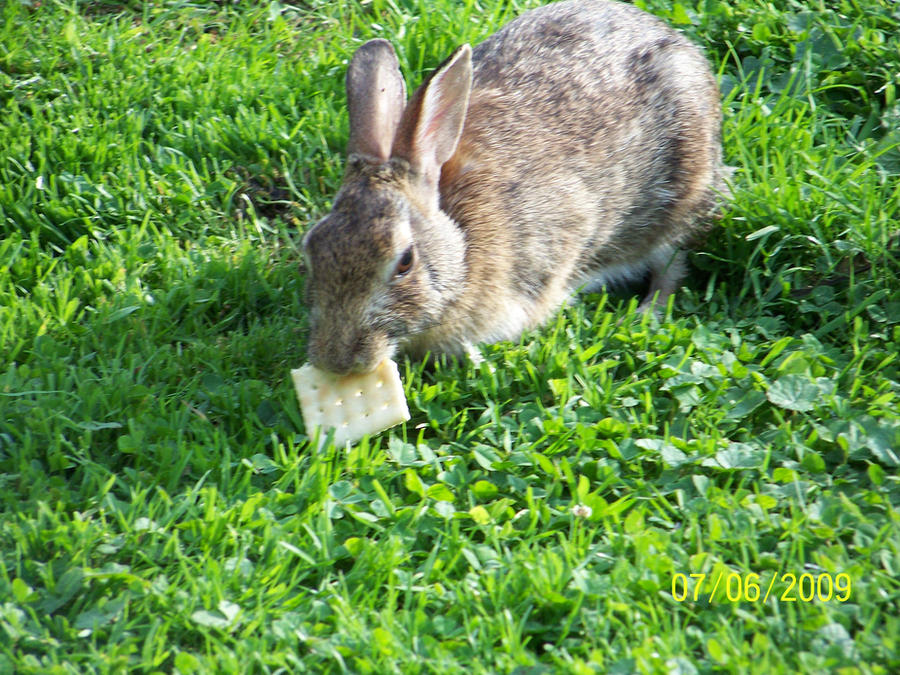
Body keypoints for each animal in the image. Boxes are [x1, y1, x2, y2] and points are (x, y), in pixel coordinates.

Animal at [302, 0, 728, 375]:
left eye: (405, 261)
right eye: (312, 248)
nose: (337, 362)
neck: (462, 244)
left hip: (679, 199)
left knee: (671, 264)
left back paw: (643, 313)